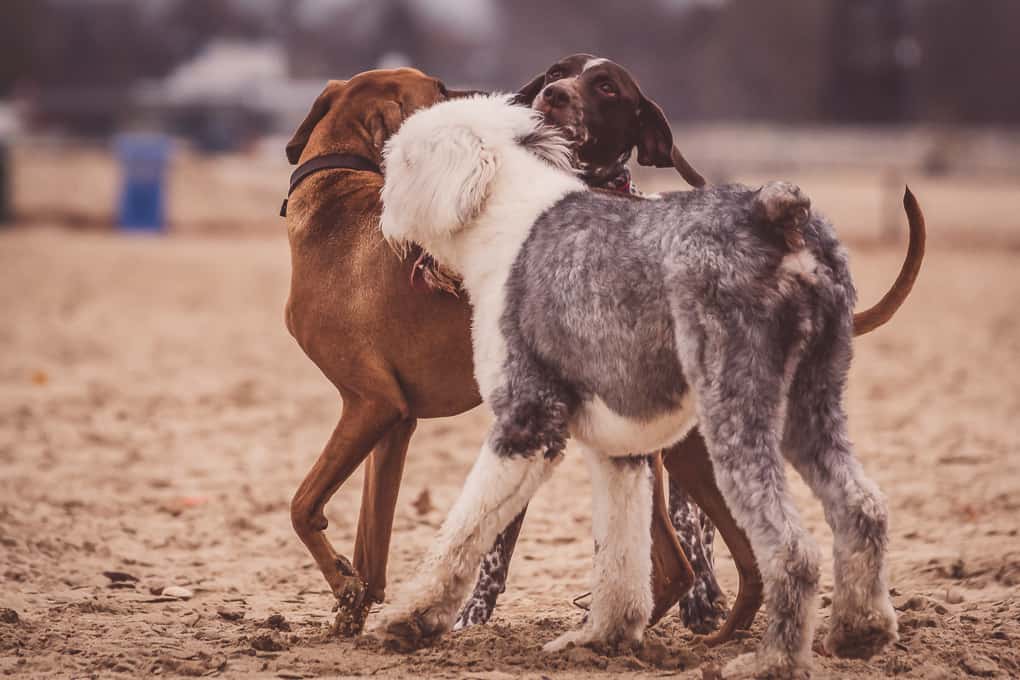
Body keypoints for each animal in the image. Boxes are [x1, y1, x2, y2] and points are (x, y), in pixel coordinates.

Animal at [377, 94, 901, 676]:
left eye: (400, 159)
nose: (381, 208)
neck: (504, 219)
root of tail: (774, 210)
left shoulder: (527, 420)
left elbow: (464, 526)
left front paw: (411, 619)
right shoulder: (620, 450)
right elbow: (620, 548)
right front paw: (602, 636)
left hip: (735, 406)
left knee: (793, 549)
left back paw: (772, 661)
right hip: (812, 399)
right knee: (862, 507)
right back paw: (860, 632)